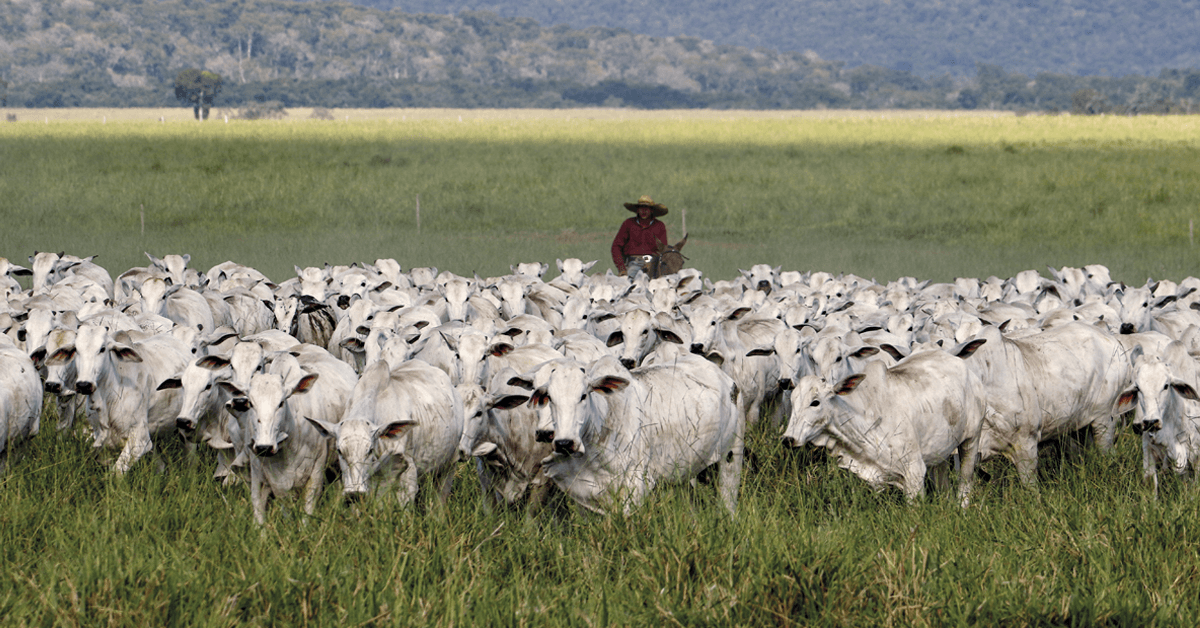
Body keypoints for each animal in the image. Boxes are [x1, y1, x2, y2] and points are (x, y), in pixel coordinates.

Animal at [511, 355, 744, 513]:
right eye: (548, 397)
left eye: (584, 395)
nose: (564, 443)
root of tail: (726, 378)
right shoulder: (578, 490)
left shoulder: (635, 488)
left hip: (732, 457)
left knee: (729, 502)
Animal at [782, 343, 988, 506]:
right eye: (792, 402)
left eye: (815, 402)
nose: (788, 439)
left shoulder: (914, 472)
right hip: (942, 449)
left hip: (972, 438)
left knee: (965, 479)